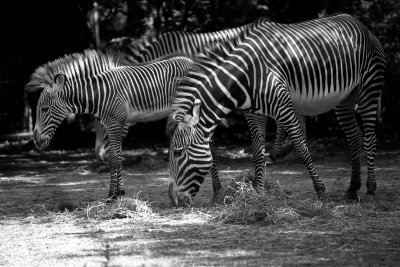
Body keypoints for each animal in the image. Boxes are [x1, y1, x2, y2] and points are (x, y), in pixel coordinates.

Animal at [25, 50, 195, 199]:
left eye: (44, 109)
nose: (36, 141)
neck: (100, 94)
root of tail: (192, 61)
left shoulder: (116, 124)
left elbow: (115, 158)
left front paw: (113, 194)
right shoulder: (111, 125)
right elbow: (116, 157)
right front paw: (119, 192)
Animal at [167, 14, 386, 207]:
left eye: (177, 152)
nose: (174, 202)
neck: (245, 76)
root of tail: (359, 23)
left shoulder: (284, 108)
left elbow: (301, 148)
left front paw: (320, 191)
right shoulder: (253, 114)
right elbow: (257, 151)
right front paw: (257, 192)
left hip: (370, 87)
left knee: (369, 139)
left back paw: (370, 190)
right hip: (344, 99)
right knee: (354, 138)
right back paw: (352, 189)